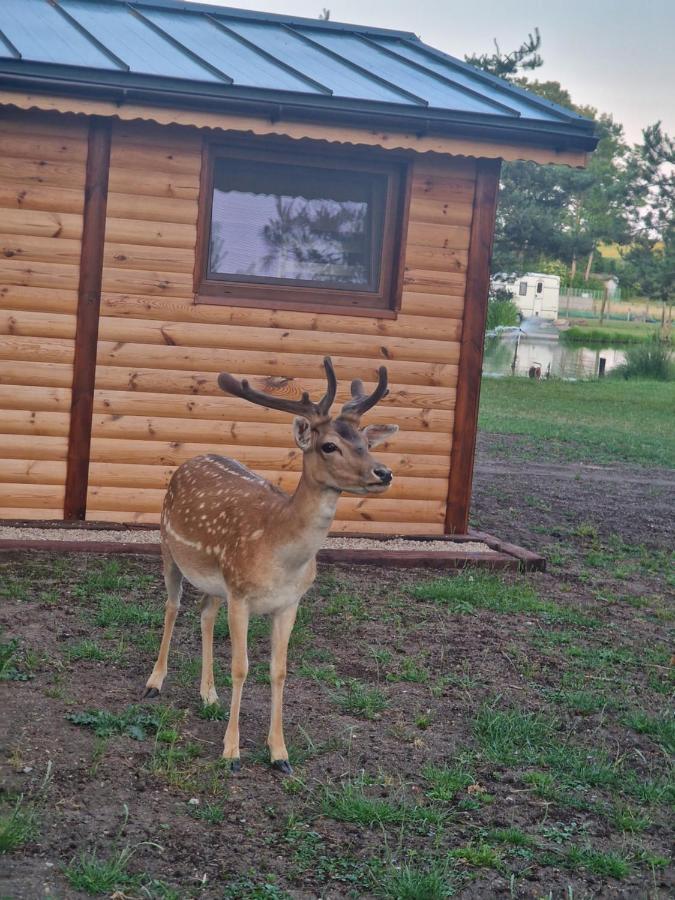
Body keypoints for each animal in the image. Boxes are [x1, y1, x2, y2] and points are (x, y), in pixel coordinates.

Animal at [143, 358, 396, 772]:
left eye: (365, 442)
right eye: (329, 445)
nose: (384, 472)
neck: (282, 557)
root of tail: (191, 459)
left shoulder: (289, 603)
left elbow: (278, 670)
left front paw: (279, 753)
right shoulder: (242, 596)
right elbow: (241, 666)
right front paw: (231, 752)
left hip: (217, 582)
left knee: (205, 612)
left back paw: (208, 693)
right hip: (168, 549)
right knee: (172, 606)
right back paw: (154, 682)